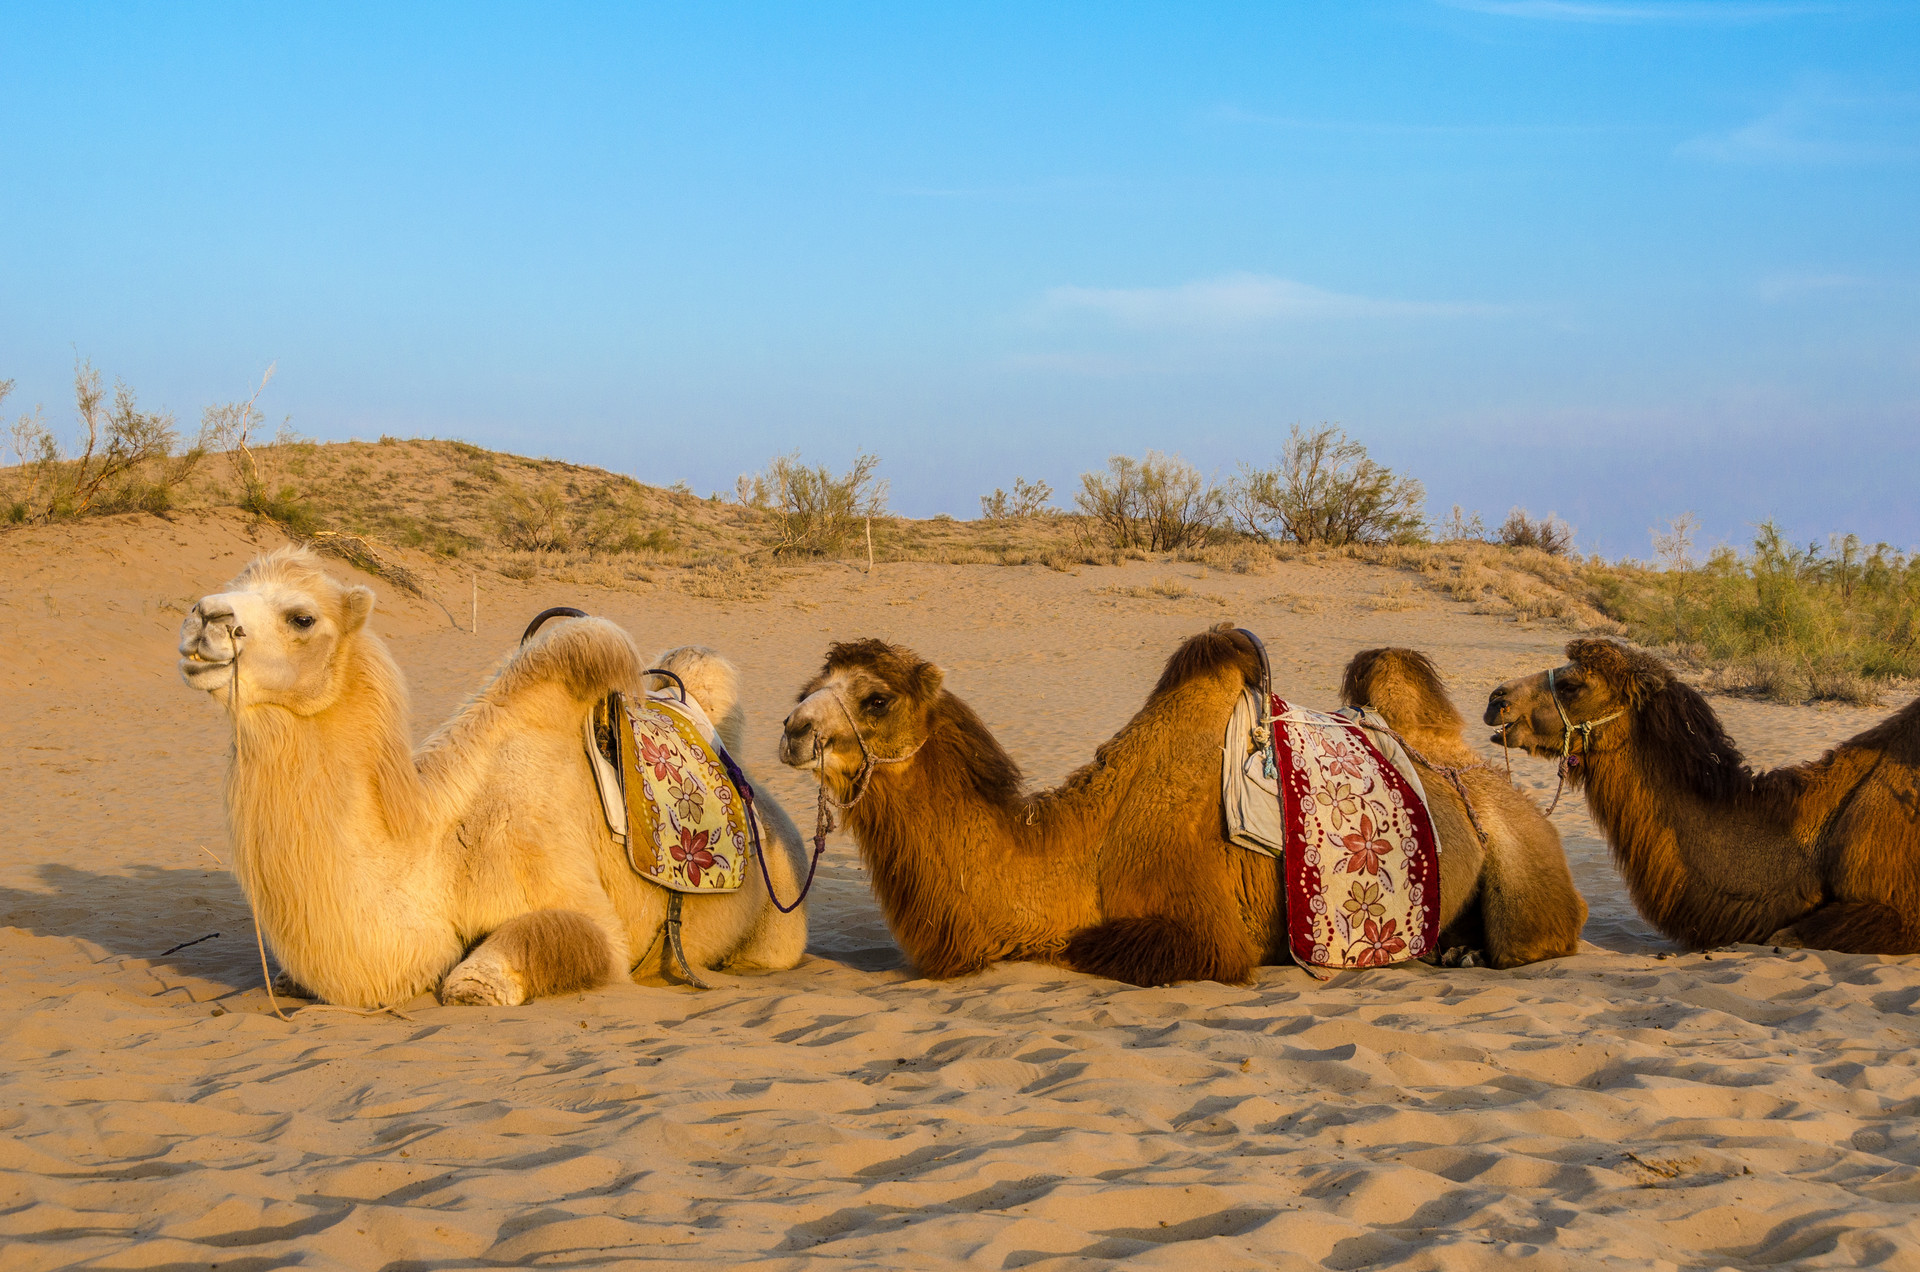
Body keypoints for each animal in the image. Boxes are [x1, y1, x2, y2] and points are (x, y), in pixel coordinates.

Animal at [176, 549, 806, 1006]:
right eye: (231, 583)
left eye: (302, 617)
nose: (203, 617)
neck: (434, 850)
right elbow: (289, 978)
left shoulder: (581, 907)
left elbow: (476, 981)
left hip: (780, 917)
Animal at [779, 626, 1589, 983]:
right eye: (807, 691)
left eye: (875, 698)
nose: (792, 730)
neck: (1082, 849)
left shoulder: (1202, 930)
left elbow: (1095, 948)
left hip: (1523, 857)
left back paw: (1468, 949)